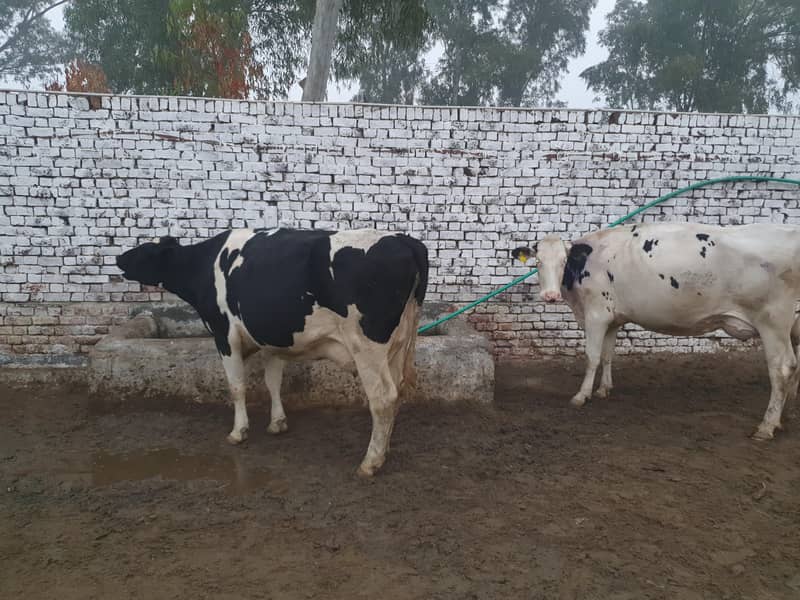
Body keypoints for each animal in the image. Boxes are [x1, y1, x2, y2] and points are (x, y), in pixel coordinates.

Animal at [116, 227, 429, 476]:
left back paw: (371, 461)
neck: (204, 265)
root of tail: (405, 240)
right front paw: (277, 422)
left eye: (143, 251)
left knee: (382, 398)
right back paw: (384, 450)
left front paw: (238, 432)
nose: (118, 258)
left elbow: (237, 386)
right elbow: (273, 382)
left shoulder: (224, 334)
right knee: (397, 392)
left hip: (367, 346)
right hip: (397, 345)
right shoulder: (271, 339)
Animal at [512, 222, 800, 441]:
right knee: (794, 366)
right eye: (538, 262)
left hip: (773, 322)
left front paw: (582, 395)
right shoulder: (612, 318)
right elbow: (607, 355)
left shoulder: (596, 314)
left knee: (782, 368)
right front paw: (604, 389)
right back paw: (785, 415)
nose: (550, 296)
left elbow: (592, 357)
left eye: (564, 261)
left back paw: (766, 426)